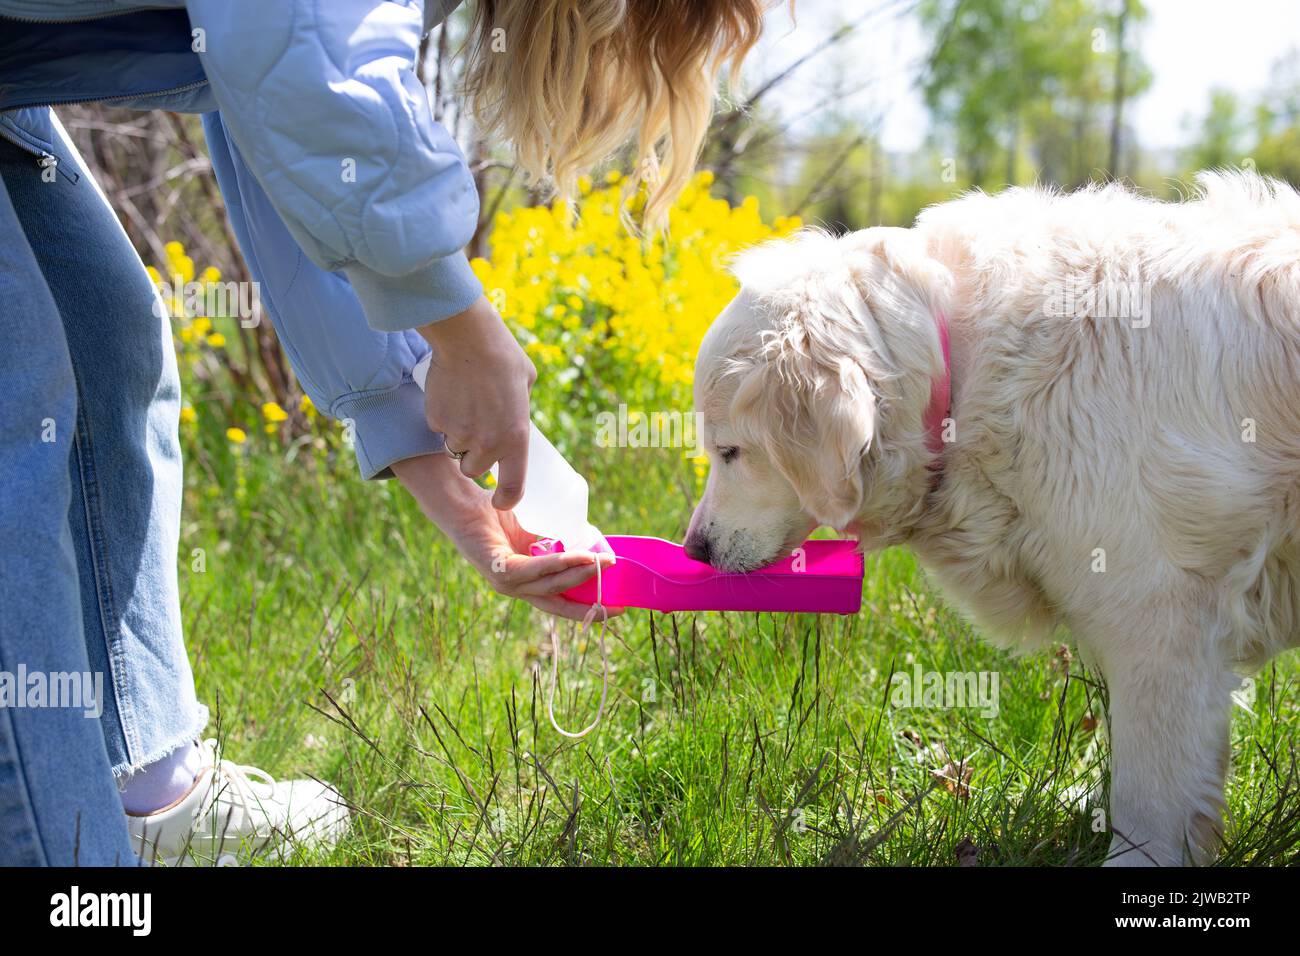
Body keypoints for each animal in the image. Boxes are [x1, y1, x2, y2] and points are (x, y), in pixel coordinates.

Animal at [681, 171, 1300, 868]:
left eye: (730, 451)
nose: (695, 548)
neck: (967, 367)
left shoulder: (1160, 624)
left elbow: (1149, 791)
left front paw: (1134, 858)